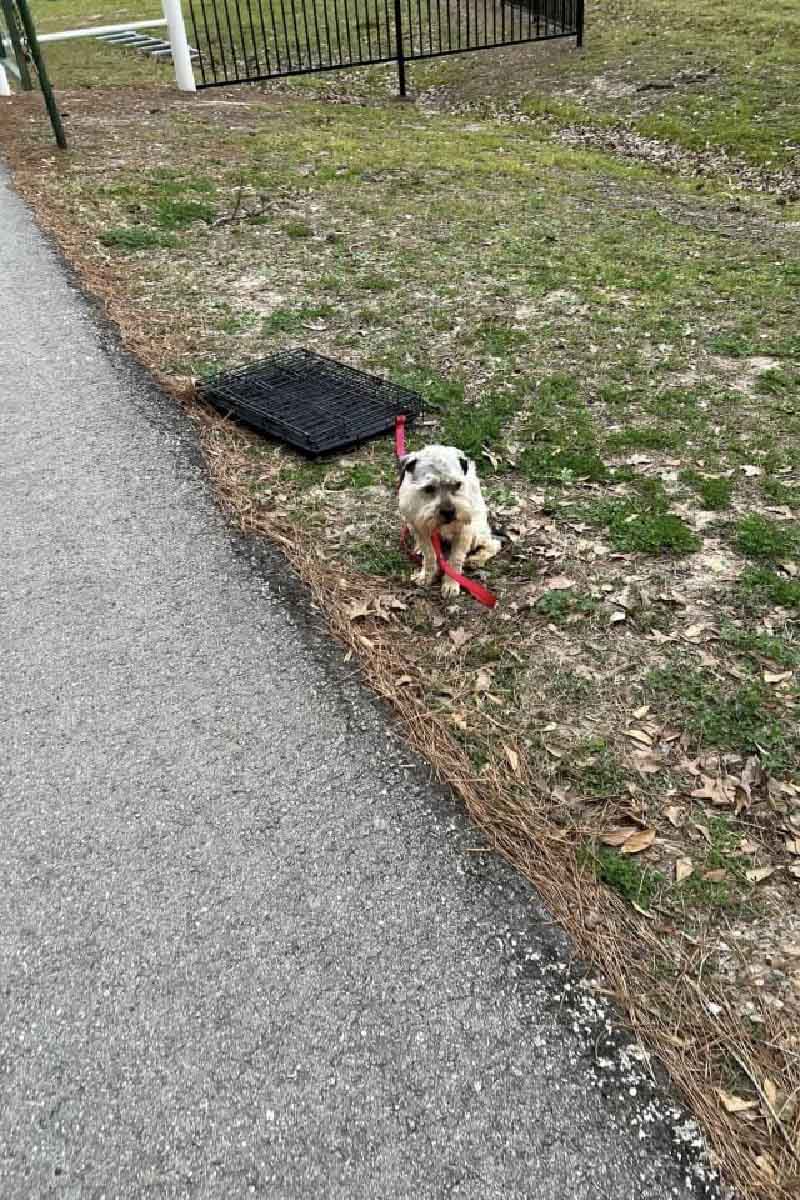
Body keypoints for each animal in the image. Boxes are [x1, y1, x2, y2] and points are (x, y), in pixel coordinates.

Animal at [398, 444, 501, 597]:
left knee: (494, 544)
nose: (449, 512)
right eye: (429, 488)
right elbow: (429, 554)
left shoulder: (464, 531)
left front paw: (451, 584)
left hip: (477, 532)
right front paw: (427, 575)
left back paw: (476, 560)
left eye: (457, 484)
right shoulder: (419, 527)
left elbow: (455, 560)